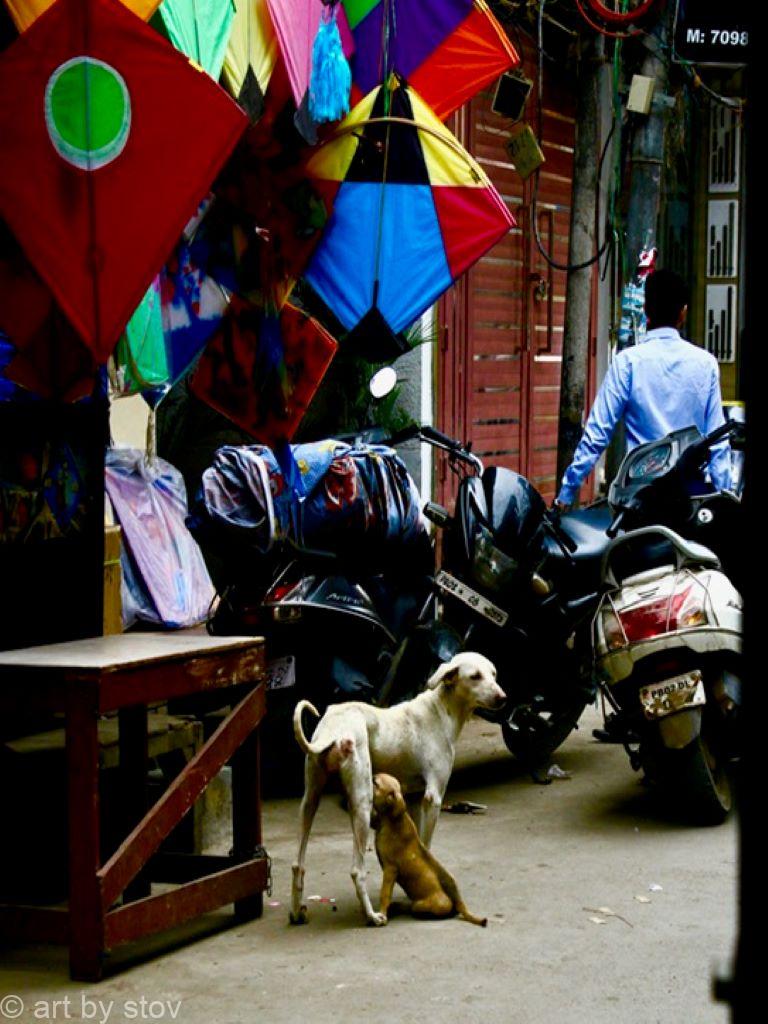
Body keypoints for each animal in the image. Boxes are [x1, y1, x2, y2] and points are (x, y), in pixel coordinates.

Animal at [372, 770, 487, 929]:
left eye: (375, 783)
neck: (390, 819)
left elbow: (384, 894)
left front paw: (382, 914)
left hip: (422, 905)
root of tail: (457, 901)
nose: (371, 775)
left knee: (417, 908)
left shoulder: (390, 870)